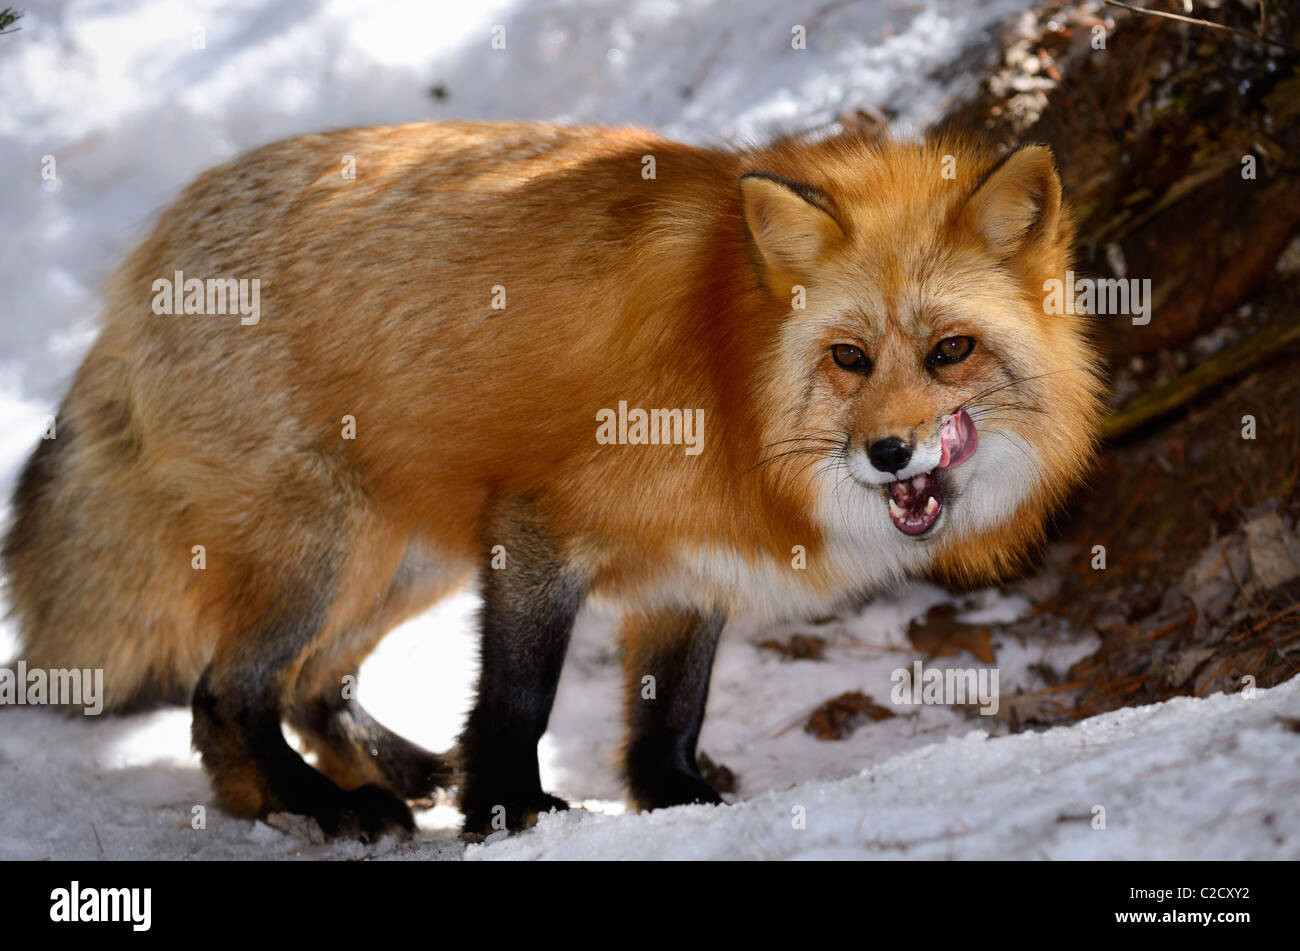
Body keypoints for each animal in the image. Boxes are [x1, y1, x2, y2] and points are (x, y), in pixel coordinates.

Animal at [3, 121, 1103, 839]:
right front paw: (507, 809)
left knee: (314, 686)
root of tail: (151, 251)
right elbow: (518, 697)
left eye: (952, 350)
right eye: (849, 359)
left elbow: (670, 710)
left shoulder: (690, 568)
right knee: (225, 695)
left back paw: (393, 771)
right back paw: (318, 805)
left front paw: (671, 800)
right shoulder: (542, 526)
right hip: (328, 550)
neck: (725, 364)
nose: (890, 454)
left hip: (406, 559)